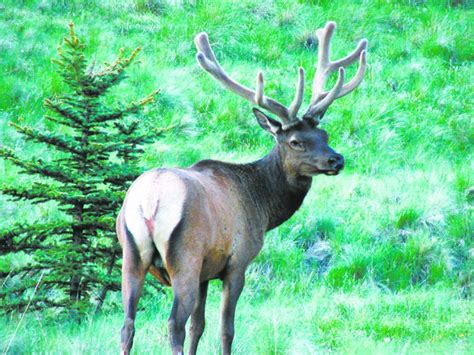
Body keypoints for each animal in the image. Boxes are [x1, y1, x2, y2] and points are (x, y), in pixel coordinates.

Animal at [116, 20, 368, 354]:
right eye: (296, 141)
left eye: (324, 134)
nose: (336, 160)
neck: (263, 207)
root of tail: (149, 201)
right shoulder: (237, 262)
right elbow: (225, 329)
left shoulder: (206, 272)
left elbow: (199, 326)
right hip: (185, 255)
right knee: (173, 324)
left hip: (131, 254)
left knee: (128, 325)